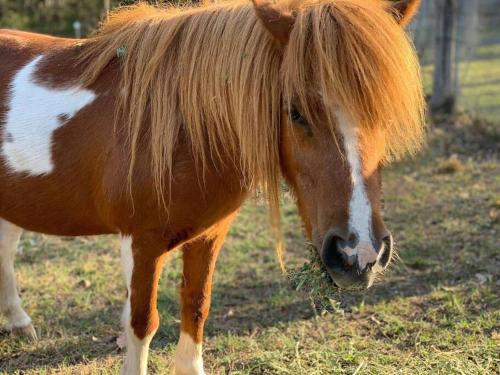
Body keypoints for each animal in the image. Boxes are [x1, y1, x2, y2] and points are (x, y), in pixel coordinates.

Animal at [0, 0, 424, 374]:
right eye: (295, 111)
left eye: (384, 114)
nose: (358, 254)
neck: (182, 127)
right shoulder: (141, 242)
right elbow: (142, 322)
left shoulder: (208, 235)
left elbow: (197, 307)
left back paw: (19, 323)